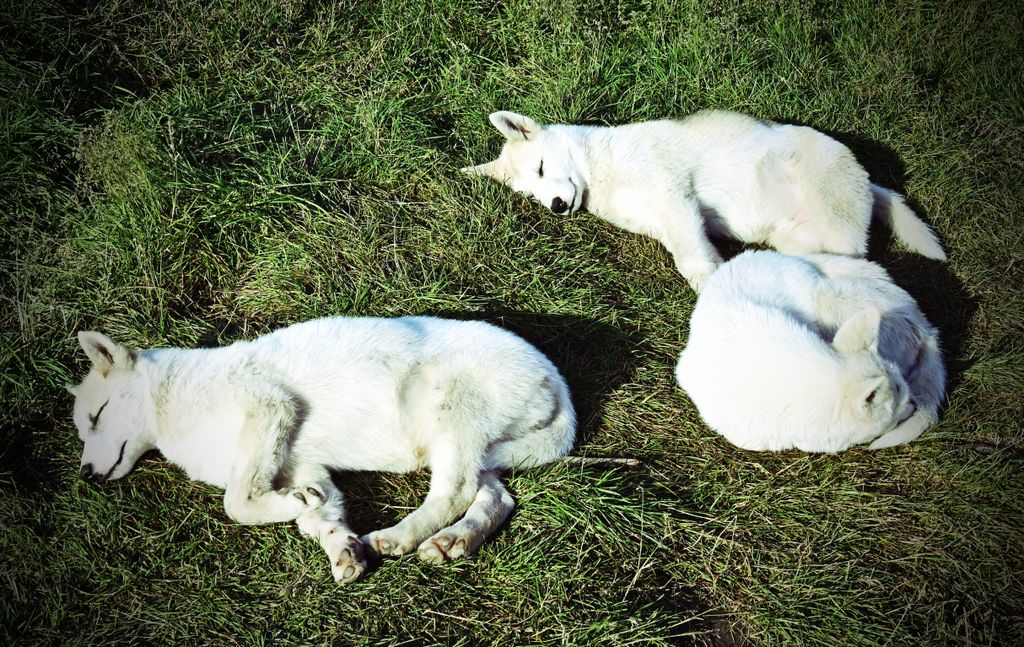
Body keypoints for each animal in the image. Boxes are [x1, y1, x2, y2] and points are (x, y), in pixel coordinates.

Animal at [66, 315, 577, 585]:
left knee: (457, 490)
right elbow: (318, 513)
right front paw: (340, 549)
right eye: (85, 429)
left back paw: (401, 536)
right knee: (494, 496)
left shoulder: (268, 406)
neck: (168, 405)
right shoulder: (301, 464)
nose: (87, 474)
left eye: (98, 416)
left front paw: (295, 510)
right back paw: (452, 542)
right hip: (477, 445)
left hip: (450, 413)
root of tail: (557, 383)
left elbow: (236, 502)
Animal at [464, 110, 942, 292]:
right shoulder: (670, 219)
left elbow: (693, 261)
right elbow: (691, 255)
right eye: (532, 195)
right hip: (799, 242)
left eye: (543, 167)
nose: (557, 207)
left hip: (838, 228)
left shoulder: (675, 199)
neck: (599, 174)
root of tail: (867, 180)